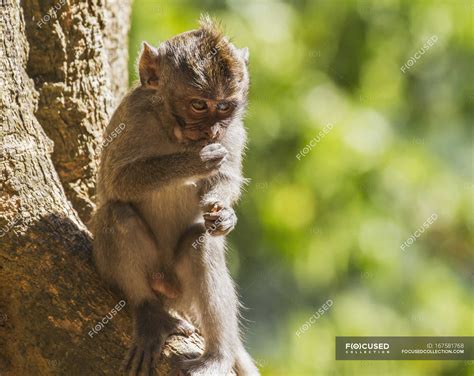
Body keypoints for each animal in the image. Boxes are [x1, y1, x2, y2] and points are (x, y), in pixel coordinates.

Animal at [89, 14, 260, 376]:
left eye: (224, 106)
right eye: (198, 105)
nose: (212, 131)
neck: (172, 130)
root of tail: (166, 286)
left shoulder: (235, 131)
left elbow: (226, 178)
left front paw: (225, 214)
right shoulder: (132, 115)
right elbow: (116, 180)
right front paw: (194, 160)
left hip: (182, 292)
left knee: (202, 244)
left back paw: (218, 356)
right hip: (117, 270)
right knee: (117, 215)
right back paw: (149, 312)